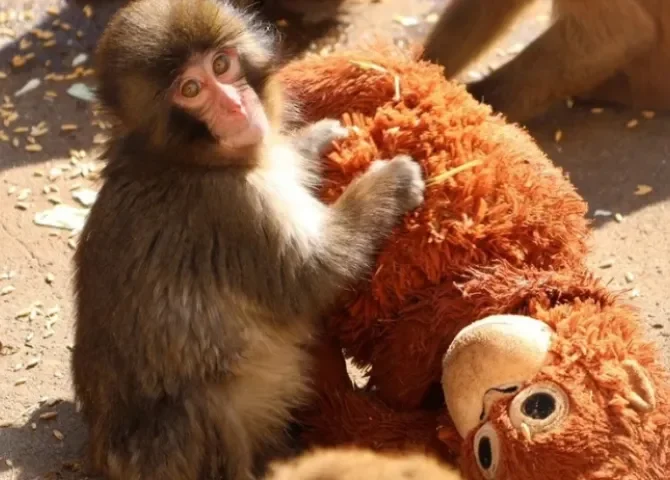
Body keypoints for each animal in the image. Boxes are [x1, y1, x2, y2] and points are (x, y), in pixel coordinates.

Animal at [70, 0, 425, 479]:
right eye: (191, 89)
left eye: (222, 65)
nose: (236, 105)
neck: (185, 160)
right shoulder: (232, 208)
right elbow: (312, 275)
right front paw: (391, 182)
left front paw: (314, 140)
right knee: (201, 406)